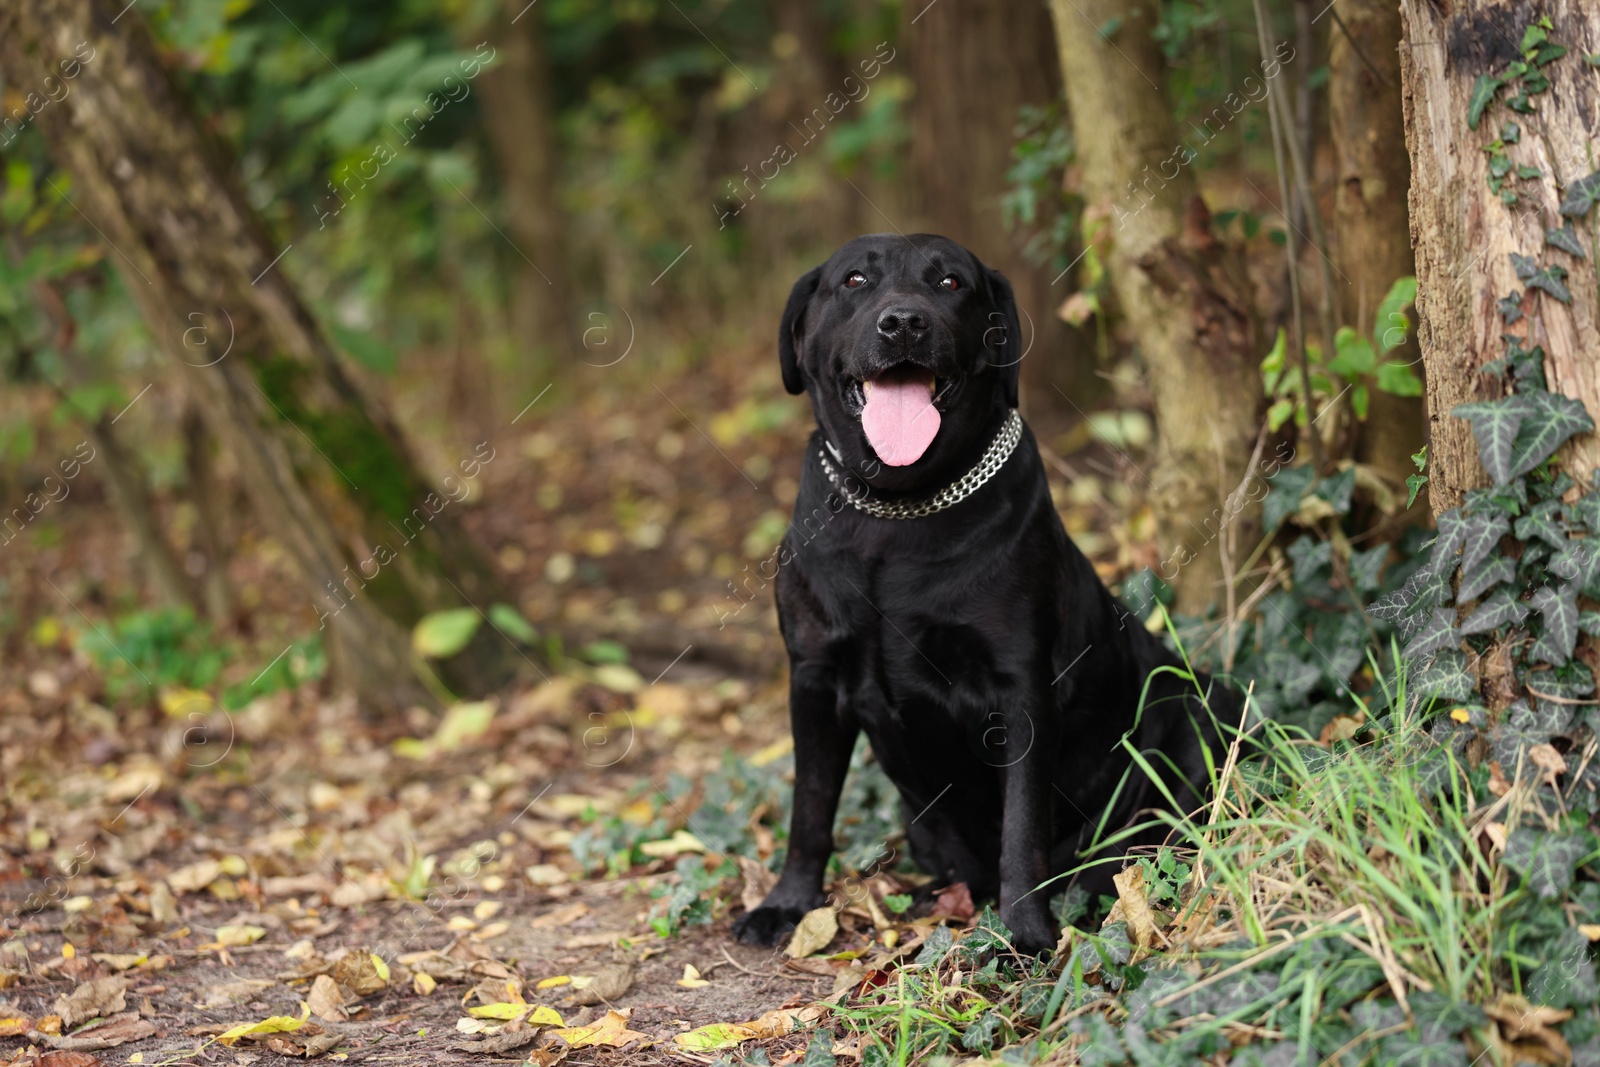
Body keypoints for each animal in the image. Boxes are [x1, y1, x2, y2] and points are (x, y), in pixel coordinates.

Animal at [732, 235, 1228, 959]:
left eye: (950, 282)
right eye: (853, 280)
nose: (904, 322)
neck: (896, 512)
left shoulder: (1018, 689)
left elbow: (1021, 829)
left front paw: (1025, 933)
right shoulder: (814, 678)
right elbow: (810, 809)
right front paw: (787, 904)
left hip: (1196, 703)